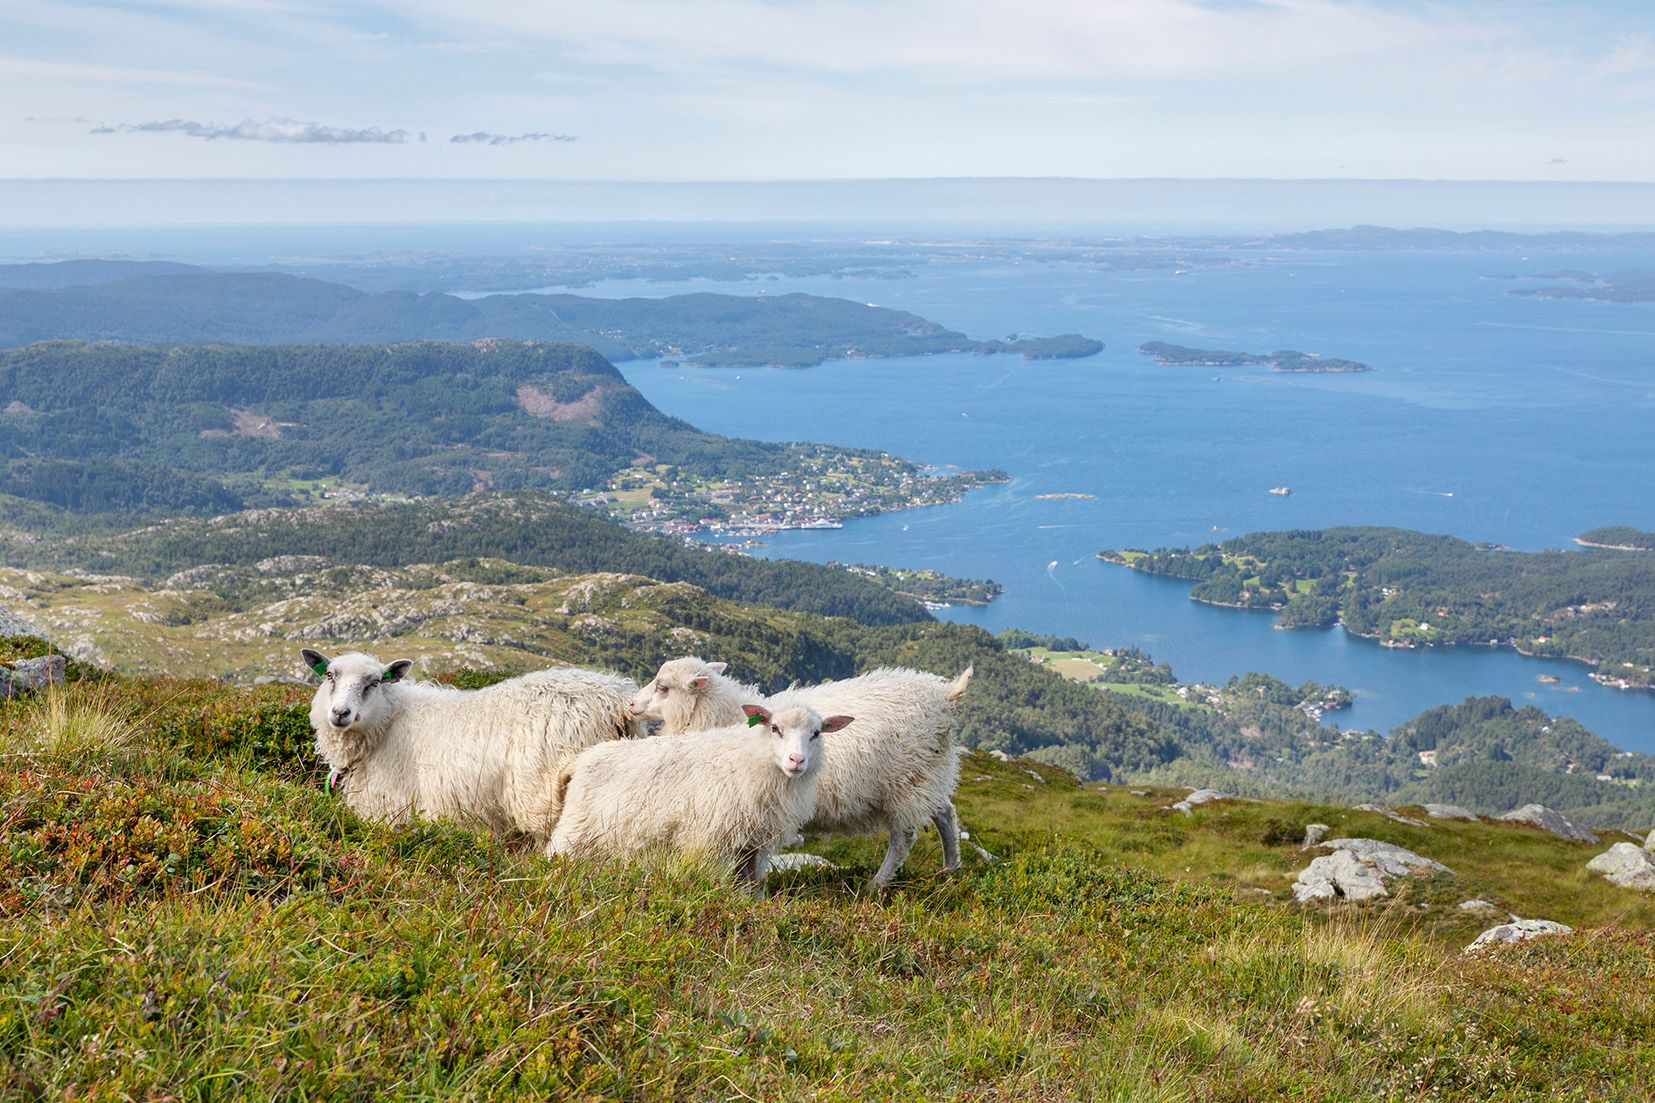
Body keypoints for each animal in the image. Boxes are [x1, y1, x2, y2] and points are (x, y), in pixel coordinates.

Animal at [303, 648, 644, 845]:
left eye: (374, 682)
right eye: (330, 675)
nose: (340, 713)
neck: (387, 724)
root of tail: (615, 701)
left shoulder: (389, 809)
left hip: (550, 794)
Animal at [546, 702, 851, 889]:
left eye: (816, 733)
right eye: (775, 728)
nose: (796, 760)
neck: (752, 758)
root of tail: (580, 759)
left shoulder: (752, 843)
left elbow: (752, 884)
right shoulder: (710, 837)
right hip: (576, 828)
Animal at [629, 656, 972, 887]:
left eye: (663, 687)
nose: (631, 703)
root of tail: (943, 695)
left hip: (907, 781)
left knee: (903, 838)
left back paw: (877, 883)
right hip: (928, 775)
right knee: (946, 814)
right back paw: (950, 869)